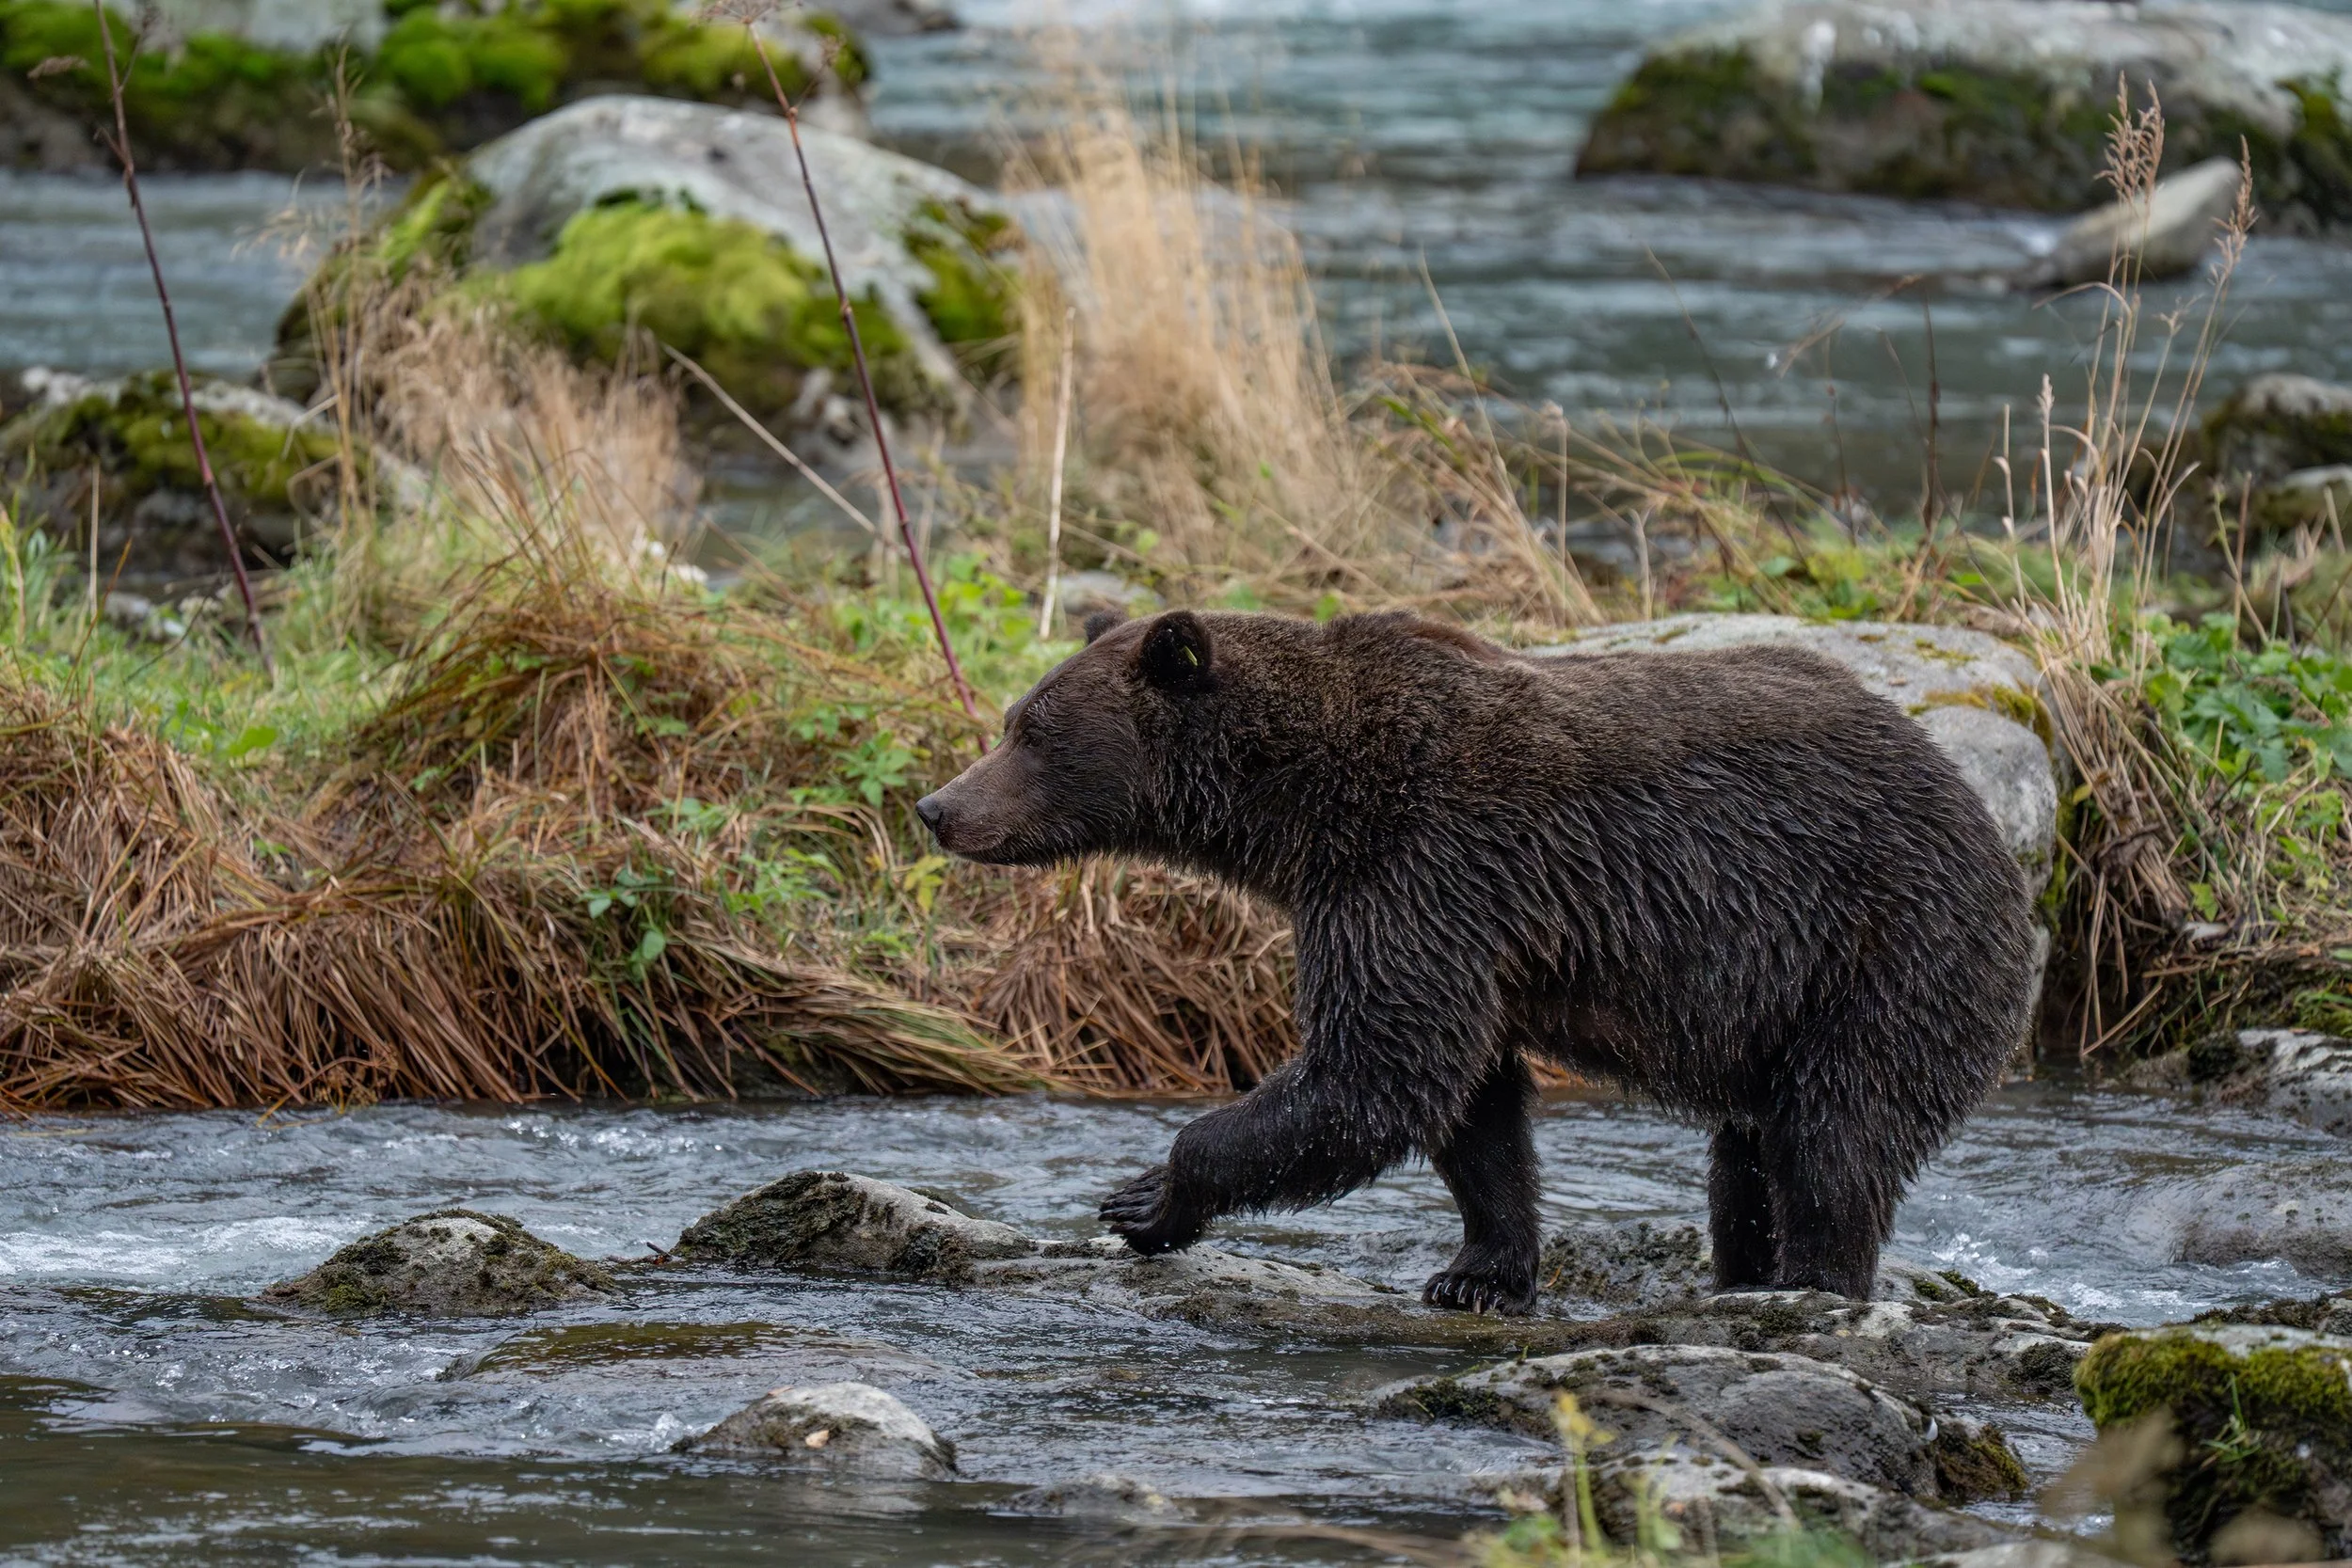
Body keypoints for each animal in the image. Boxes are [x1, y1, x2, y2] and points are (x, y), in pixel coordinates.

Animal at [916, 608, 2038, 1312]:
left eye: (1031, 730)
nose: (937, 805)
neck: (1304, 808)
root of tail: (1997, 835)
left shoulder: (1420, 869)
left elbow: (1377, 1072)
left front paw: (1148, 1195)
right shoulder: (1449, 920)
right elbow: (1472, 1105)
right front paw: (1479, 1272)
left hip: (1885, 949)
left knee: (1835, 1132)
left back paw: (1812, 1281)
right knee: (1748, 1156)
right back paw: (1745, 1272)